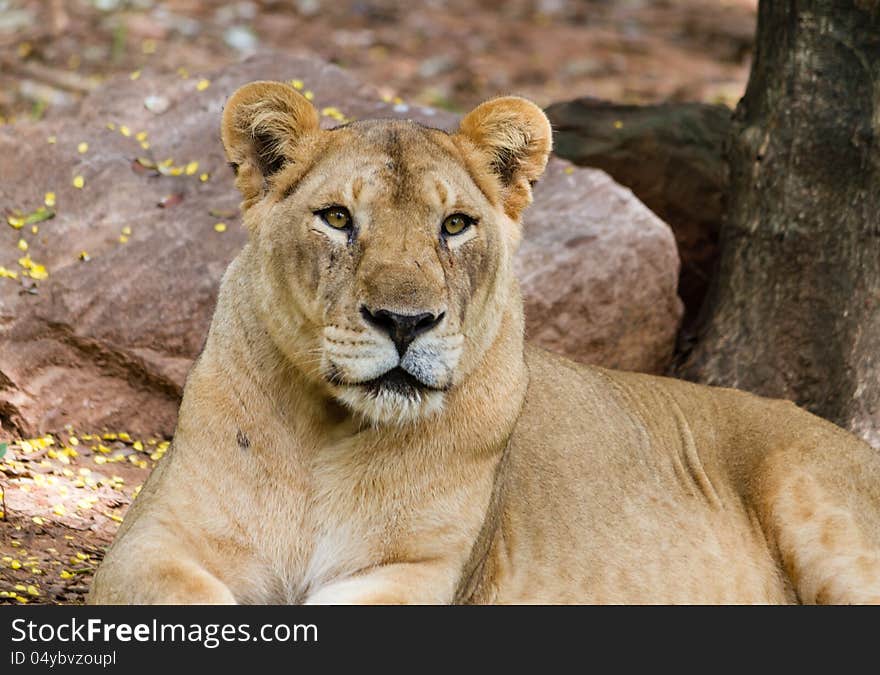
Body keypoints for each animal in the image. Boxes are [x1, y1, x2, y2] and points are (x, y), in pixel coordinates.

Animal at [89, 82, 880, 604]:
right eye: (338, 218)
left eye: (455, 225)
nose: (404, 322)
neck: (328, 434)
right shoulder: (152, 543)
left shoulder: (418, 573)